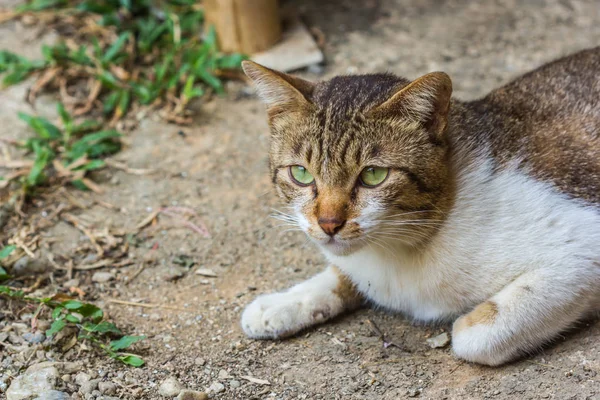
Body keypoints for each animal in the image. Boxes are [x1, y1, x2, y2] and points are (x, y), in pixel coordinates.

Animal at [239, 47, 600, 366]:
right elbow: (341, 274)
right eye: (300, 173)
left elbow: (471, 337)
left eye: (373, 175)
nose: (328, 223)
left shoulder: (580, 250)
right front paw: (282, 304)